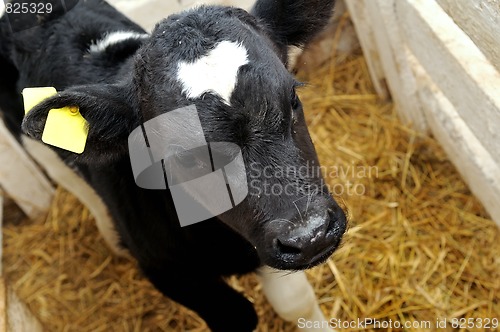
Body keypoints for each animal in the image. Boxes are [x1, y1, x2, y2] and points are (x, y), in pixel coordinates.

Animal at [0, 1, 346, 330]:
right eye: (184, 155)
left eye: (292, 100)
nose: (311, 234)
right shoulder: (168, 271)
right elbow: (238, 317)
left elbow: (295, 303)